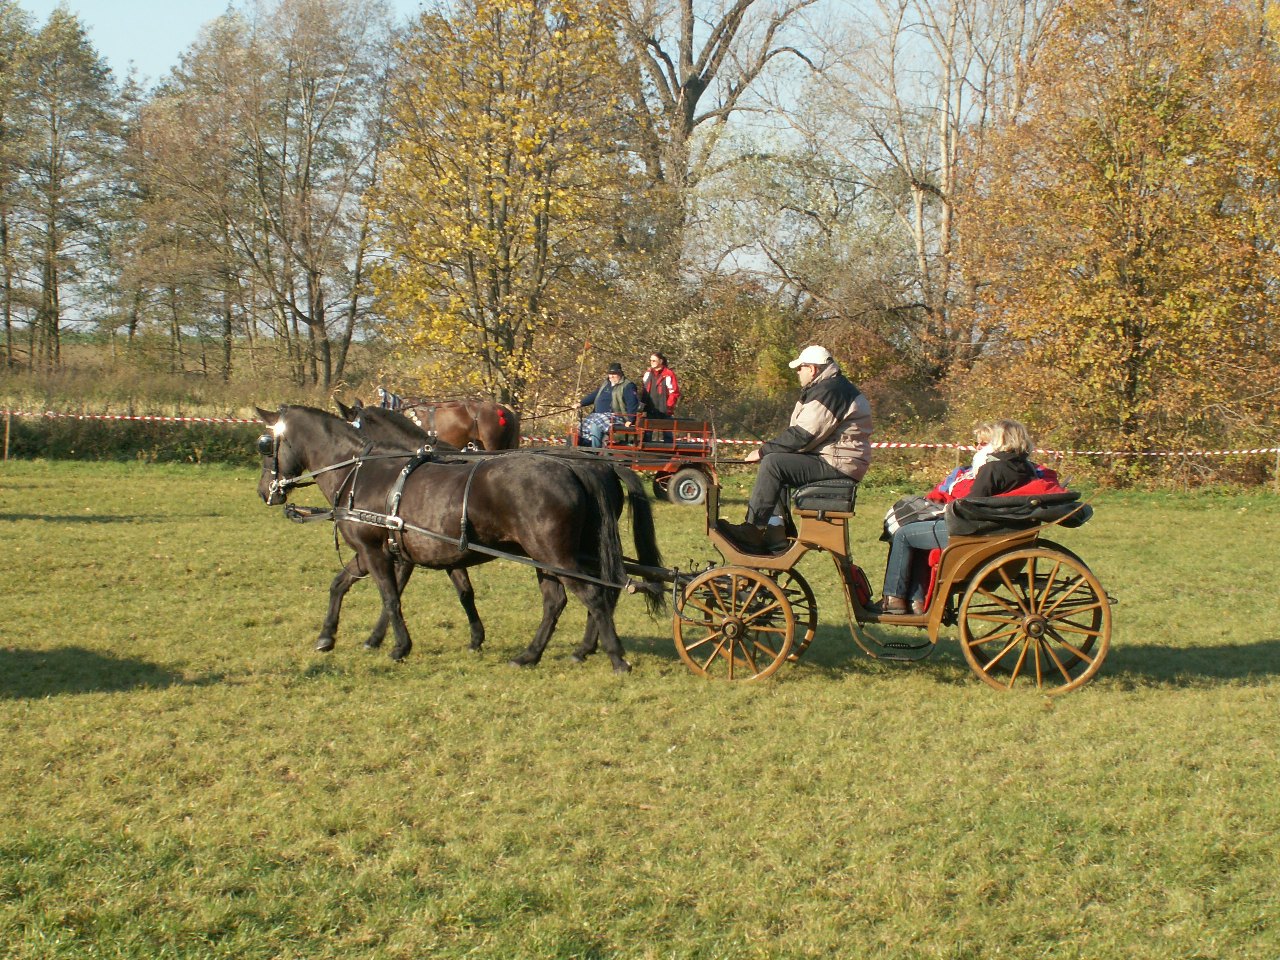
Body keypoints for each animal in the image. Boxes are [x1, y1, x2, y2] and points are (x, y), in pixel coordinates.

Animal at [261, 401, 660, 670]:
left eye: (266, 445)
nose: (265, 490)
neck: (364, 471)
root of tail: (588, 467)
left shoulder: (376, 551)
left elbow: (390, 597)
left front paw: (395, 645)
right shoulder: (401, 552)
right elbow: (344, 584)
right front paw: (331, 636)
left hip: (554, 554)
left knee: (592, 596)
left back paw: (614, 657)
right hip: (560, 554)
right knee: (566, 599)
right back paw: (534, 655)